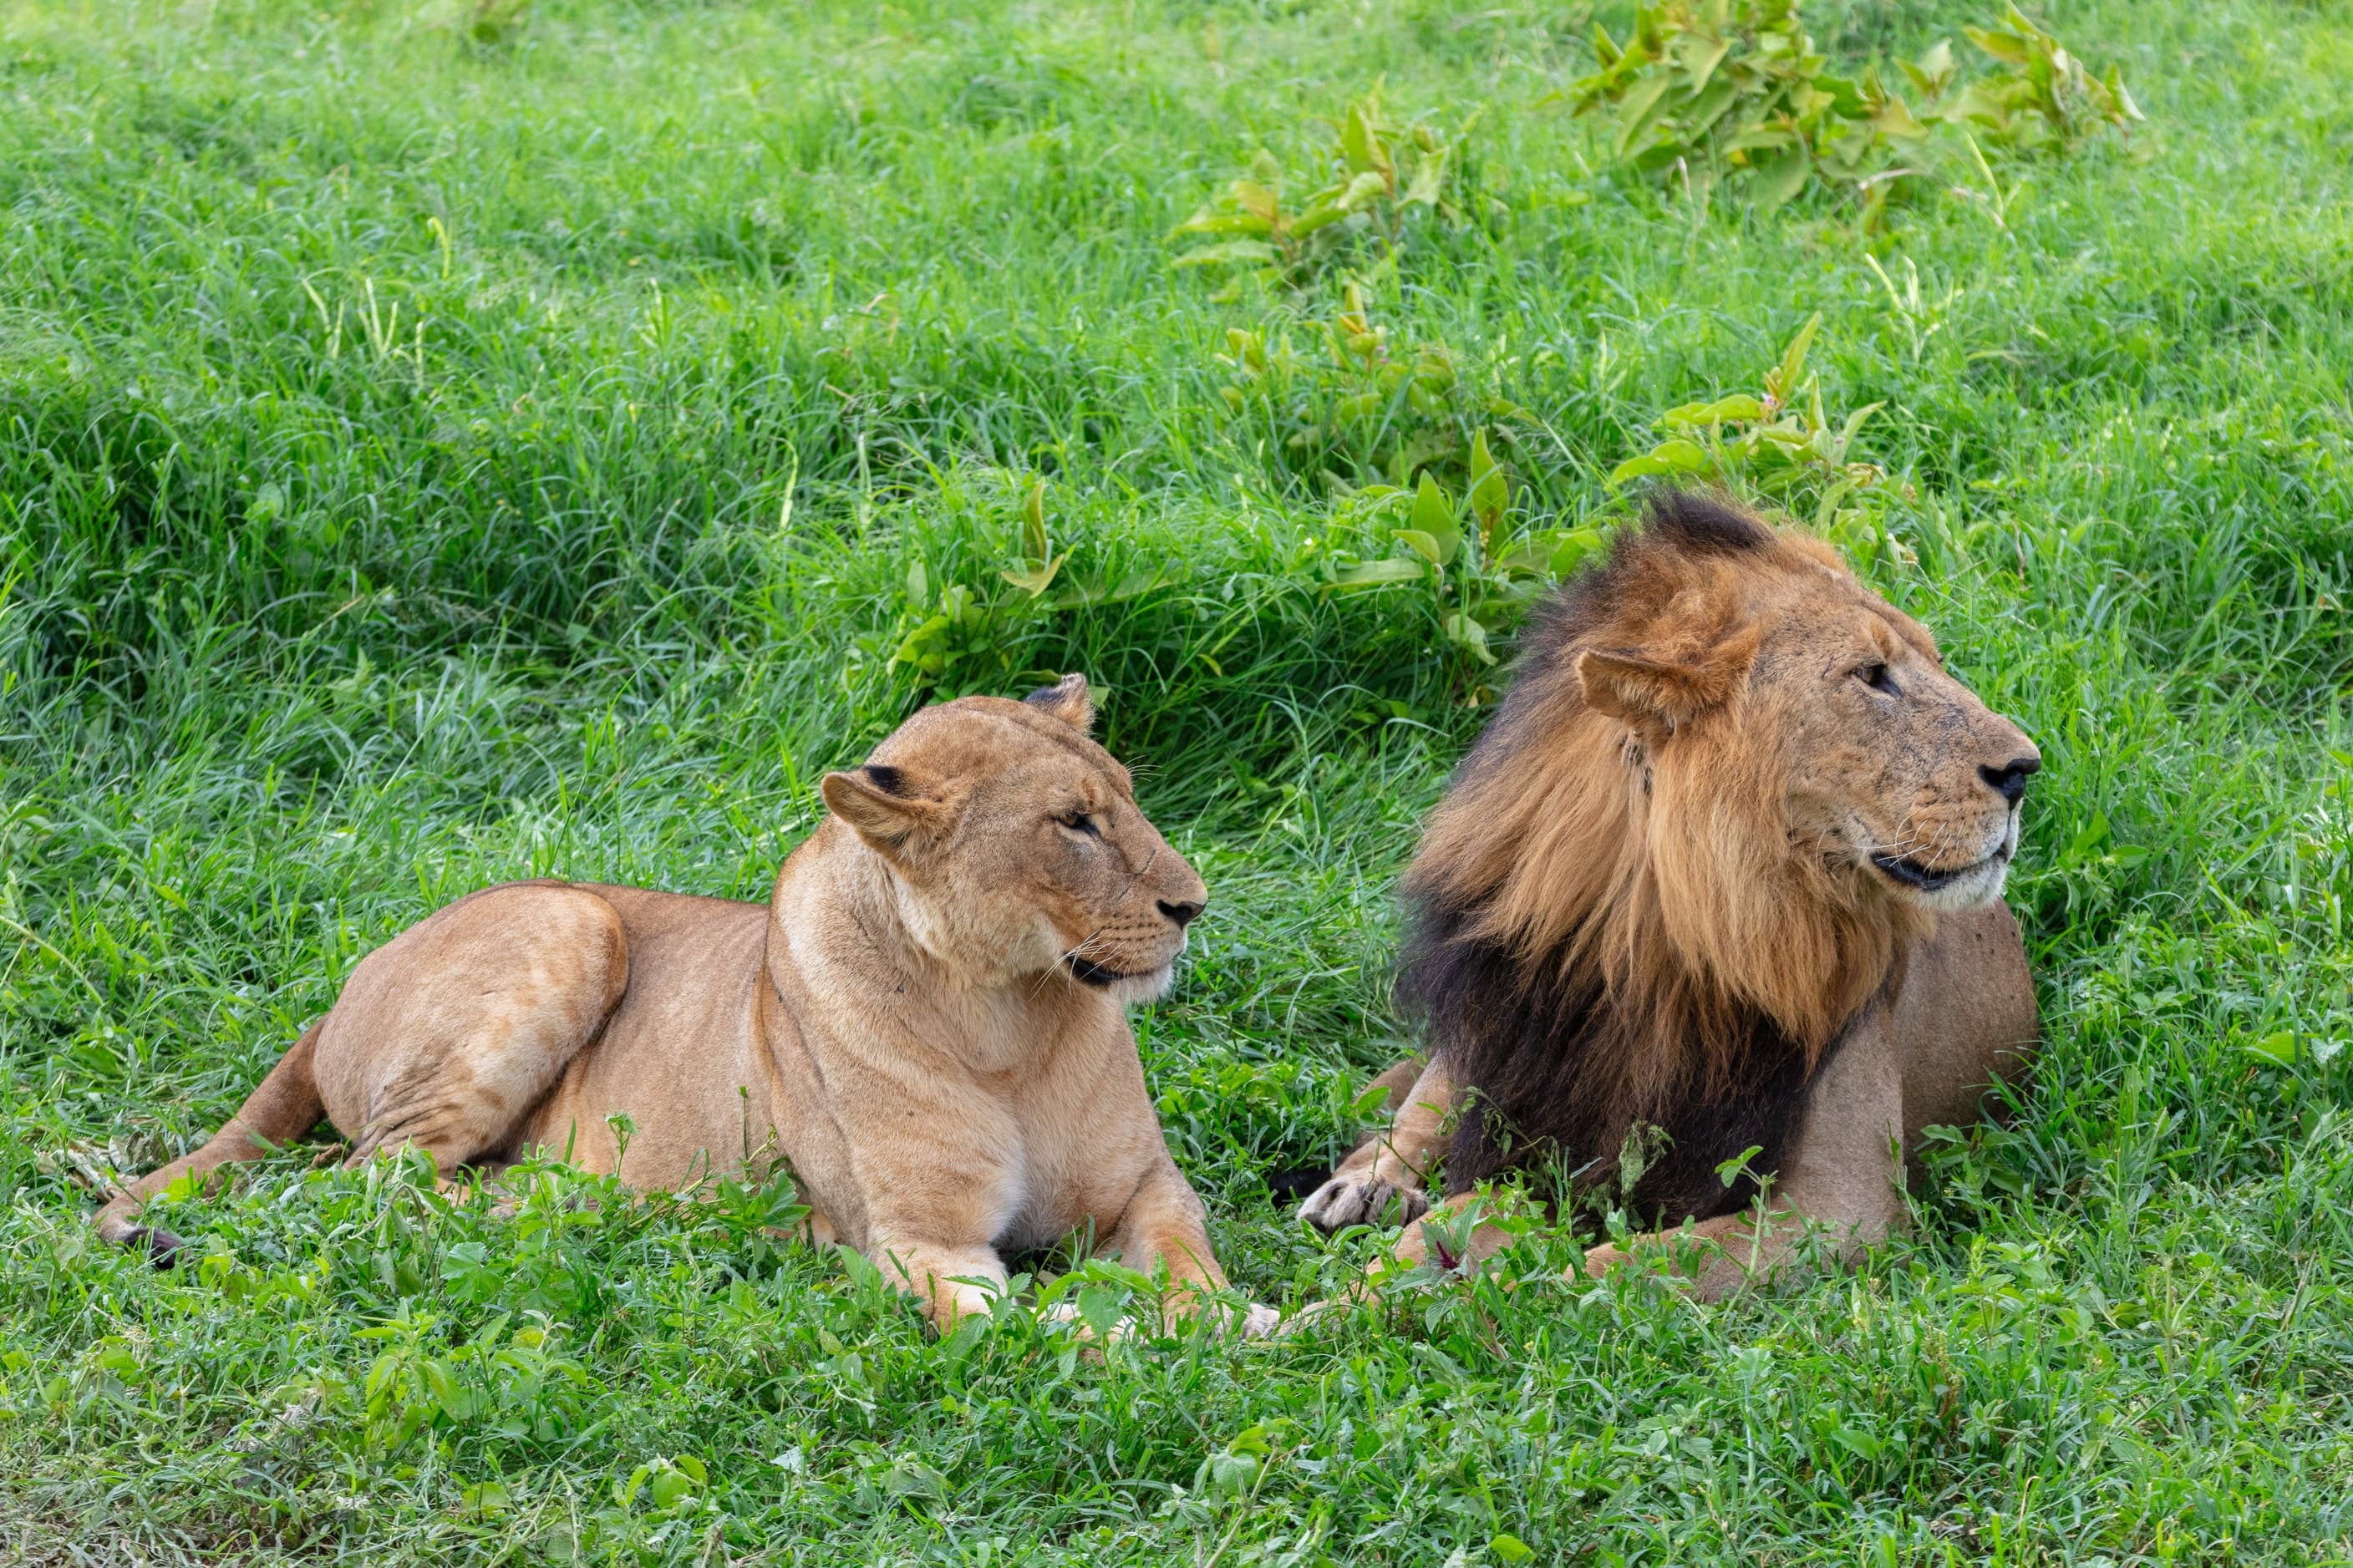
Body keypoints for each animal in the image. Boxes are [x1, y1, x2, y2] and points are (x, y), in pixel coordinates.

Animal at [98, 676, 1276, 1335]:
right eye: (1072, 823)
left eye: (1127, 797)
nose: (1193, 904)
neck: (1007, 1017)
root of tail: (345, 987)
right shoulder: (917, 1242)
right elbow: (1029, 1325)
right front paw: (1125, 1333)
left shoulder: (1145, 1189)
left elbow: (1190, 1269)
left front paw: (1242, 1318)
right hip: (573, 919)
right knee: (369, 1185)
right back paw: (579, 1207)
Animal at [1296, 492, 2042, 1299]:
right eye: (1872, 675)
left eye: (1935, 662)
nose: (2025, 769)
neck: (1669, 930)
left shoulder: (1842, 1209)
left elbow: (1620, 1268)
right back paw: (1363, 1185)